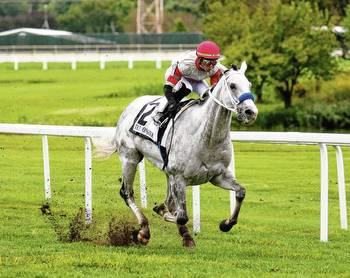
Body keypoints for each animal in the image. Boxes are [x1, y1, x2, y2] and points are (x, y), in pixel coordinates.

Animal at [93, 62, 258, 248]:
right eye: (232, 85)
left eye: (249, 84)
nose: (251, 112)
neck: (208, 136)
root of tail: (130, 106)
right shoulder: (179, 177)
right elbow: (181, 215)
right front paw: (171, 221)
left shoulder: (218, 176)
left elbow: (241, 192)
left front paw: (226, 224)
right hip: (130, 158)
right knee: (126, 192)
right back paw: (144, 230)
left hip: (166, 171)